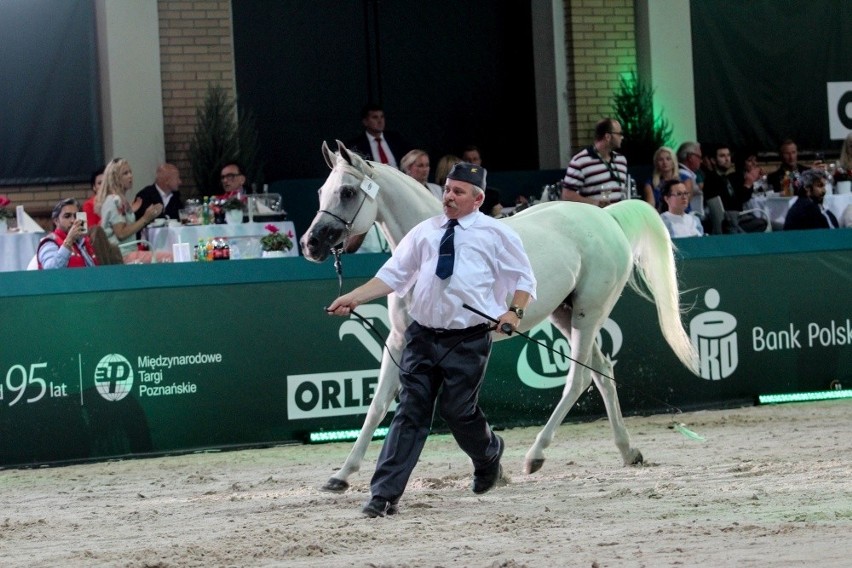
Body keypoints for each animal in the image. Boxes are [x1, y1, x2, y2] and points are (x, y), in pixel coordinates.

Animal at [300, 140, 700, 490]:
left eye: (347, 192)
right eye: (321, 191)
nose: (310, 244)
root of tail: (605, 216)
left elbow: (457, 406)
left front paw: (494, 468)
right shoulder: (399, 342)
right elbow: (379, 405)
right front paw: (342, 475)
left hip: (589, 313)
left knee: (580, 378)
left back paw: (536, 455)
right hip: (564, 313)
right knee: (602, 371)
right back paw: (627, 451)